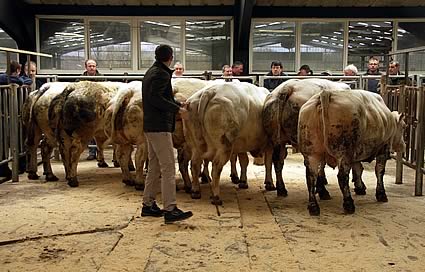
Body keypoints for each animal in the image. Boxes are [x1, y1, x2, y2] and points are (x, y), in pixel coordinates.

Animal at [298, 88, 404, 216]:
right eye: (404, 127)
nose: (403, 145)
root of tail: (327, 93)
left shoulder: (355, 152)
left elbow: (358, 169)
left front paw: (360, 187)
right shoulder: (383, 149)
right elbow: (379, 171)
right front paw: (381, 194)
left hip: (312, 153)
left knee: (311, 177)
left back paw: (313, 207)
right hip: (344, 151)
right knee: (342, 177)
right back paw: (348, 204)